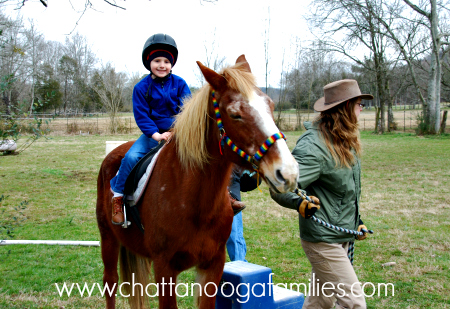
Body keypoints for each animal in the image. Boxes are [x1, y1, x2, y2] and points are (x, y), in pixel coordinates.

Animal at [96, 55, 298, 308]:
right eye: (235, 114)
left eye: (270, 106)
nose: (288, 172)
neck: (195, 202)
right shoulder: (164, 268)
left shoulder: (212, 266)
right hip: (108, 238)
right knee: (110, 282)